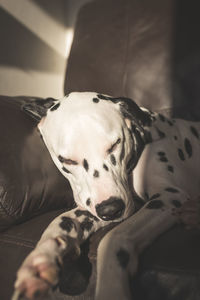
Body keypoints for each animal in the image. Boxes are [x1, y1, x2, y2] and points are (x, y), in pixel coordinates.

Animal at [12, 92, 200, 300]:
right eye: (67, 161)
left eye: (115, 145)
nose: (111, 210)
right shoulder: (92, 209)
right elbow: (61, 221)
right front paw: (40, 260)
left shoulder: (168, 197)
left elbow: (114, 238)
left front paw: (111, 286)